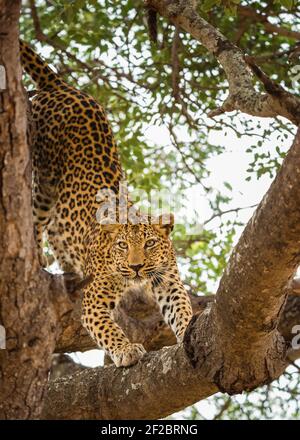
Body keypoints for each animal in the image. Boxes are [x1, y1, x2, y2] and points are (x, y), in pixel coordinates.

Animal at [19, 38, 193, 368]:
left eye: (150, 243)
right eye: (122, 246)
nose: (136, 267)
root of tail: (61, 86)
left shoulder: (168, 281)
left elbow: (182, 308)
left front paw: (189, 329)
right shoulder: (95, 300)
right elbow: (107, 328)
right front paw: (125, 350)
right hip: (43, 182)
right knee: (34, 220)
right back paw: (37, 259)